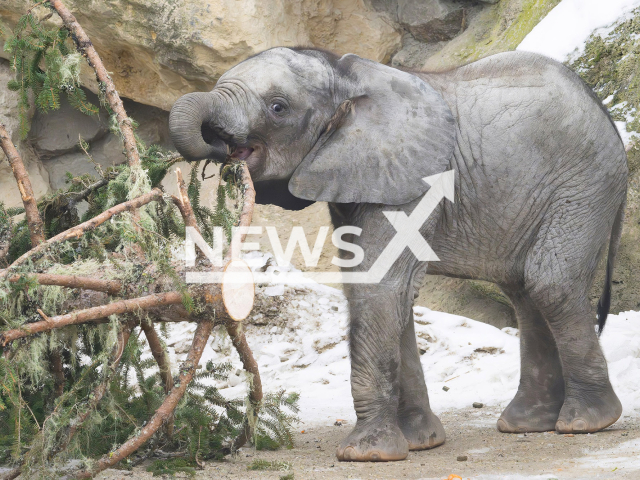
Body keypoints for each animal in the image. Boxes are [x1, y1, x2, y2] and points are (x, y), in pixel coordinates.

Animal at [168, 47, 628, 462]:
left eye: (278, 108)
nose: (217, 150)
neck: (348, 78)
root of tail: (606, 114)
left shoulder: (415, 181)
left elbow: (379, 286)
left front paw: (366, 454)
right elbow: (386, 291)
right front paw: (421, 442)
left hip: (583, 185)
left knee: (549, 282)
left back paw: (587, 422)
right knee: (523, 290)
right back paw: (527, 423)